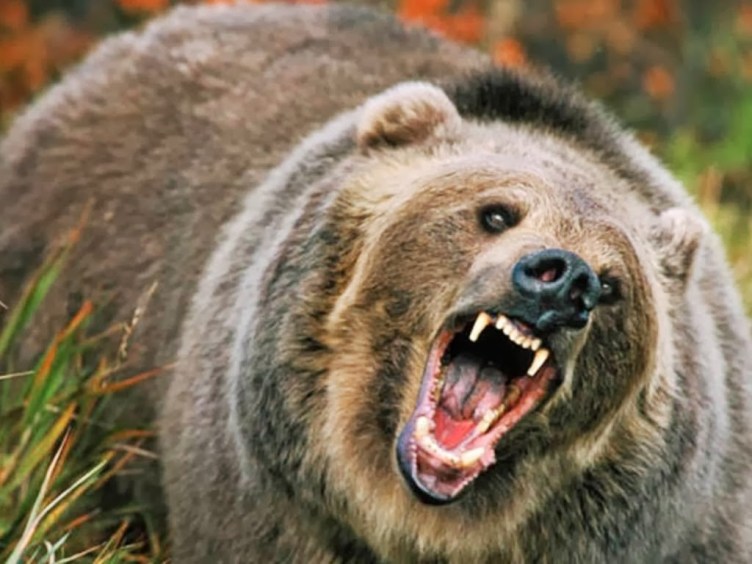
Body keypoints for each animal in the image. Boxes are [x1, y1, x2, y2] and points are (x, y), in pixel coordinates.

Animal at [2, 3, 752, 563]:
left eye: (616, 284)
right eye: (496, 212)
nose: (564, 277)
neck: (417, 520)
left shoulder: (691, 523)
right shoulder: (267, 501)